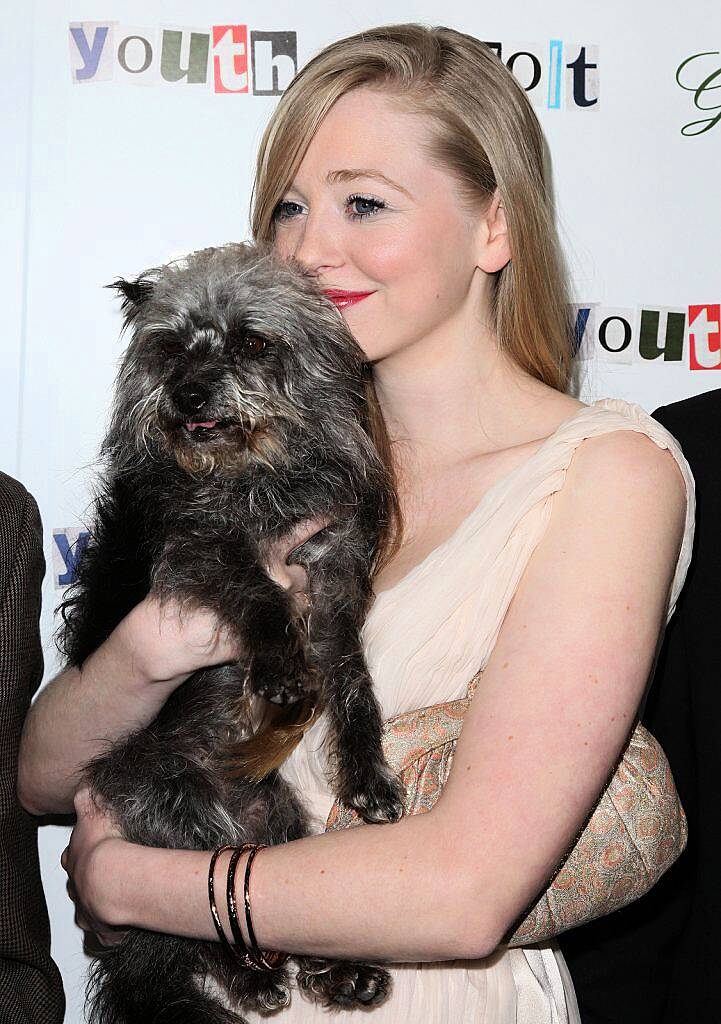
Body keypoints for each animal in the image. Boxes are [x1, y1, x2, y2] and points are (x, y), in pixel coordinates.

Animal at [61, 241, 405, 1024]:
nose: (187, 395)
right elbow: (257, 591)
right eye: (169, 347)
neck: (255, 476)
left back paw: (340, 974)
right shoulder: (199, 553)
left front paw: (368, 775)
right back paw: (250, 980)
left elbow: (354, 687)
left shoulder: (332, 587)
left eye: (252, 341)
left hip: (273, 817)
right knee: (196, 917)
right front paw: (277, 664)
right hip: (172, 808)